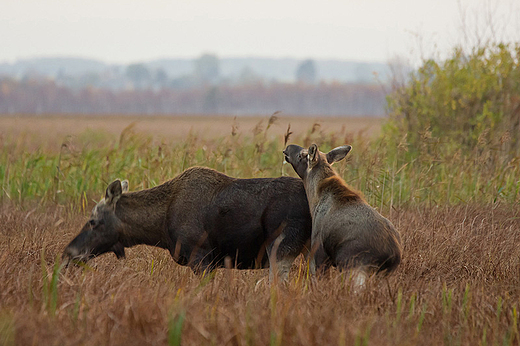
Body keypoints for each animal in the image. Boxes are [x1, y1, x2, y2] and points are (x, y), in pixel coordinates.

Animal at [284, 143, 402, 286]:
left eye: (302, 155)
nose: (288, 147)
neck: (315, 197)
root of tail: (393, 254)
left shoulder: (319, 251)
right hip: (386, 275)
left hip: (354, 265)